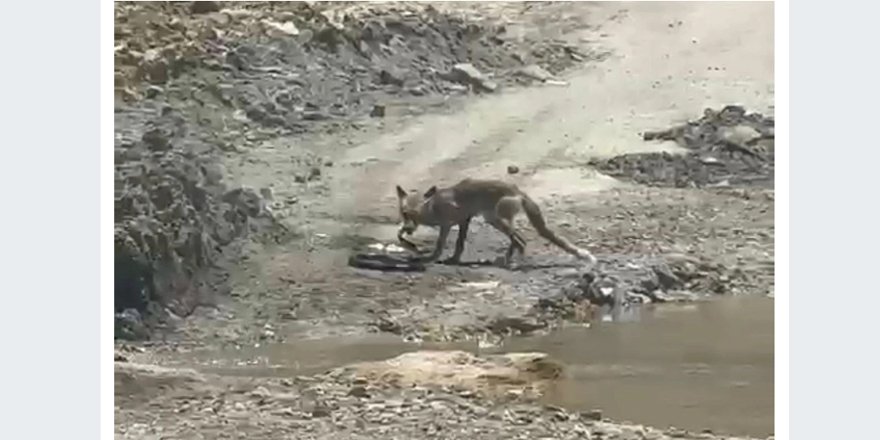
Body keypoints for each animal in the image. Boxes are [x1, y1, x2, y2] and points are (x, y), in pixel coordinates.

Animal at [398, 178, 600, 266]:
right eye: (404, 213)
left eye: (415, 215)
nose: (407, 229)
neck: (434, 208)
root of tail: (518, 190)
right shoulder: (465, 220)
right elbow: (459, 244)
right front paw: (453, 259)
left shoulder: (451, 223)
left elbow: (441, 244)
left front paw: (431, 258)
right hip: (494, 220)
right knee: (516, 240)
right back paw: (508, 258)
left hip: (499, 220)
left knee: (520, 240)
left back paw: (516, 262)